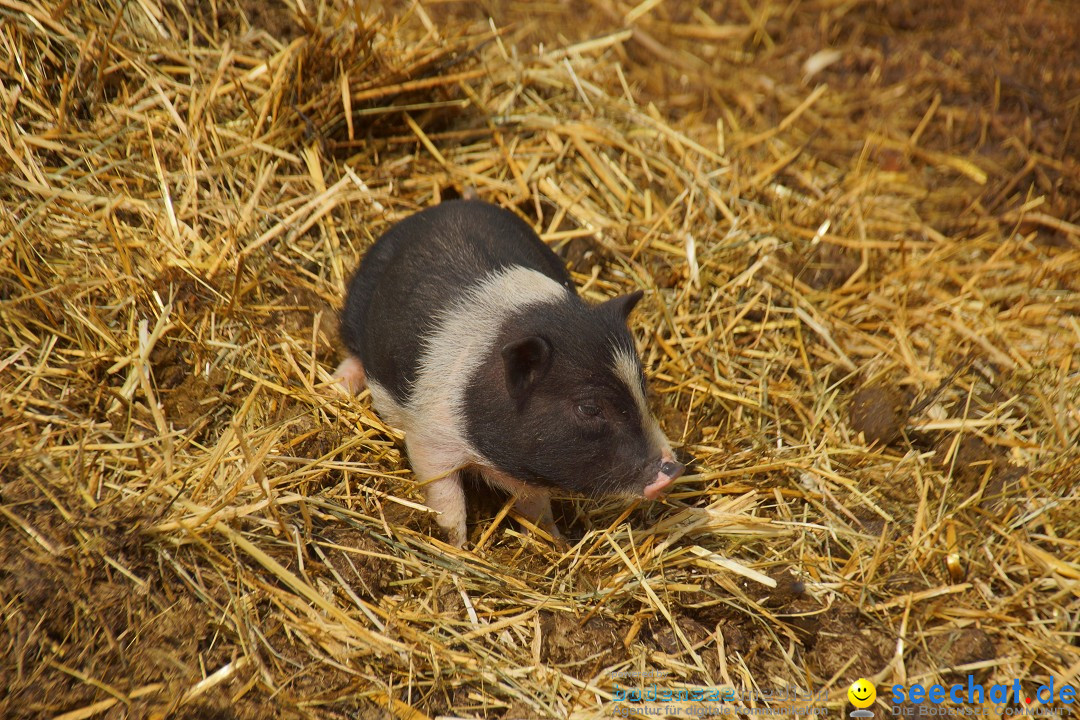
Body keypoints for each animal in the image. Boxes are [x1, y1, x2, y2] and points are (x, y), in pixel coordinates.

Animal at [336, 197, 678, 546]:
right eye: (589, 408)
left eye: (643, 386)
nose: (672, 470)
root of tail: (446, 206)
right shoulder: (429, 435)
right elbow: (446, 497)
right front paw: (458, 546)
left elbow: (535, 506)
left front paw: (557, 542)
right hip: (357, 300)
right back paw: (337, 386)